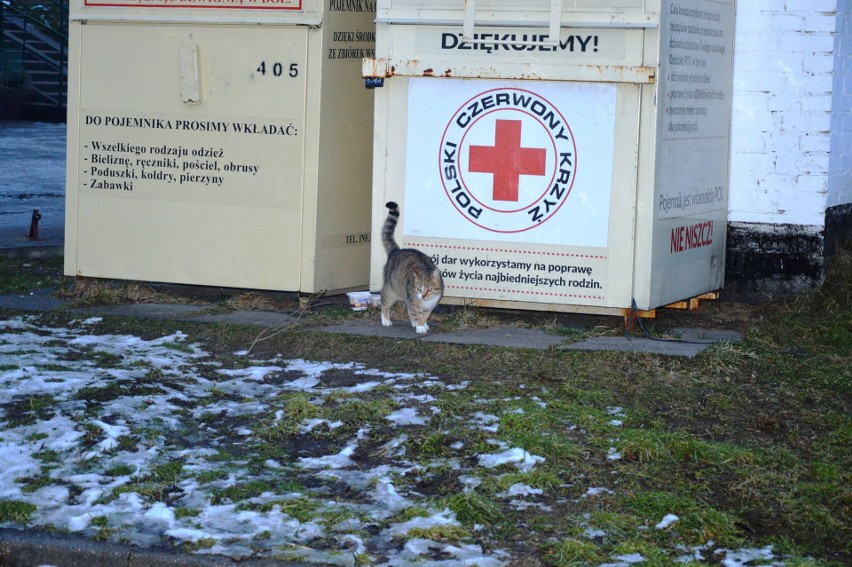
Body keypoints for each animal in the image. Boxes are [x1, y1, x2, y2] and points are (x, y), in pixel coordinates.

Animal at [382, 201, 446, 336]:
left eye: (429, 289)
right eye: (418, 288)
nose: (422, 296)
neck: (426, 301)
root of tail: (396, 250)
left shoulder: (430, 306)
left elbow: (424, 315)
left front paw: (423, 324)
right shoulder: (413, 301)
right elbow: (417, 314)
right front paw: (421, 327)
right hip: (390, 290)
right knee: (384, 302)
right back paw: (385, 320)